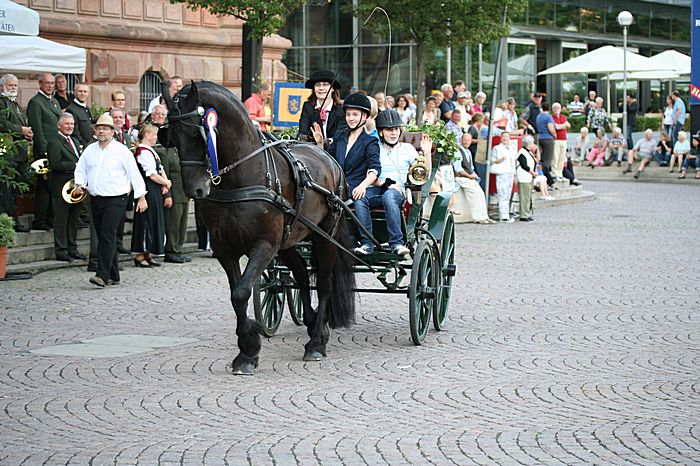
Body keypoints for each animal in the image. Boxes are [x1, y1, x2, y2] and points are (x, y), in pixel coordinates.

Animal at [159, 81, 356, 375]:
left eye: (198, 133)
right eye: (171, 135)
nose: (195, 190)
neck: (242, 176)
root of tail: (329, 159)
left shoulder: (264, 245)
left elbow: (242, 291)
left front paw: (249, 346)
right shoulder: (225, 249)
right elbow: (236, 294)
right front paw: (247, 348)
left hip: (326, 236)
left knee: (324, 283)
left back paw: (317, 342)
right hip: (289, 240)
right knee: (301, 273)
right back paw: (312, 324)